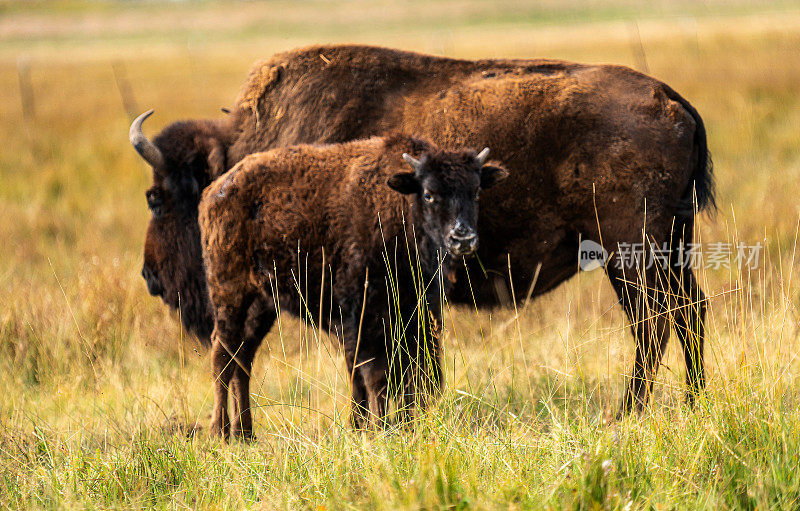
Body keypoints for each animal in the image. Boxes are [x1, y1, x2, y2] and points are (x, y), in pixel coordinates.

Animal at [197, 134, 506, 438]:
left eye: (476, 192)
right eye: (429, 194)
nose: (462, 238)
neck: (401, 206)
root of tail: (215, 192)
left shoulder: (415, 313)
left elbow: (405, 373)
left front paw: (398, 425)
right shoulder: (365, 315)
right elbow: (376, 375)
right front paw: (379, 427)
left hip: (262, 305)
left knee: (242, 358)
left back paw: (245, 432)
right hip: (231, 296)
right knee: (222, 356)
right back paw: (220, 431)